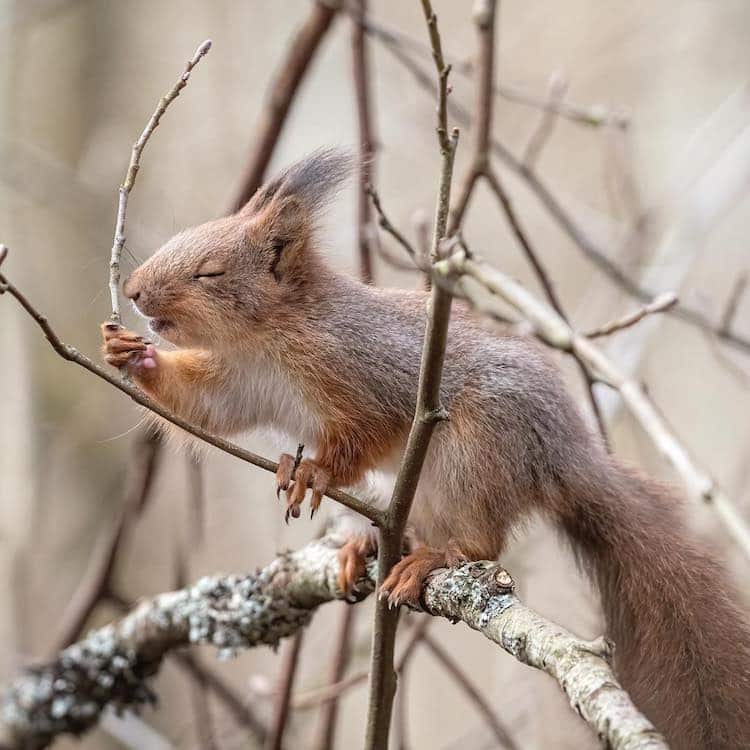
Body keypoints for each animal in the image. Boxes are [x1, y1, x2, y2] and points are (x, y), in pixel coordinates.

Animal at [104, 148, 750, 750]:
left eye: (209, 273)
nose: (132, 292)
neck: (264, 336)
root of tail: (562, 454)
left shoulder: (361, 375)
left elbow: (363, 435)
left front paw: (313, 470)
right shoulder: (239, 382)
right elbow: (205, 408)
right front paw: (132, 357)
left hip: (479, 452)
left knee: (482, 543)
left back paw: (432, 558)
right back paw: (369, 541)